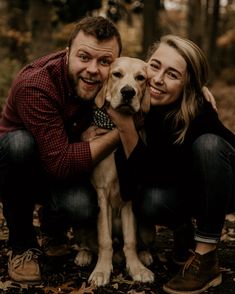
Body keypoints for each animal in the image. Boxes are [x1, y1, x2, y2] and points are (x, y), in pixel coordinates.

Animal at [76, 56, 154, 286]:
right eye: (116, 74)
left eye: (141, 78)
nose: (128, 92)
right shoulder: (101, 193)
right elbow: (105, 240)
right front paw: (102, 270)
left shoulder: (130, 192)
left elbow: (130, 240)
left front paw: (137, 268)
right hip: (84, 222)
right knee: (91, 242)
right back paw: (84, 254)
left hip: (147, 227)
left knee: (136, 242)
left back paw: (143, 255)